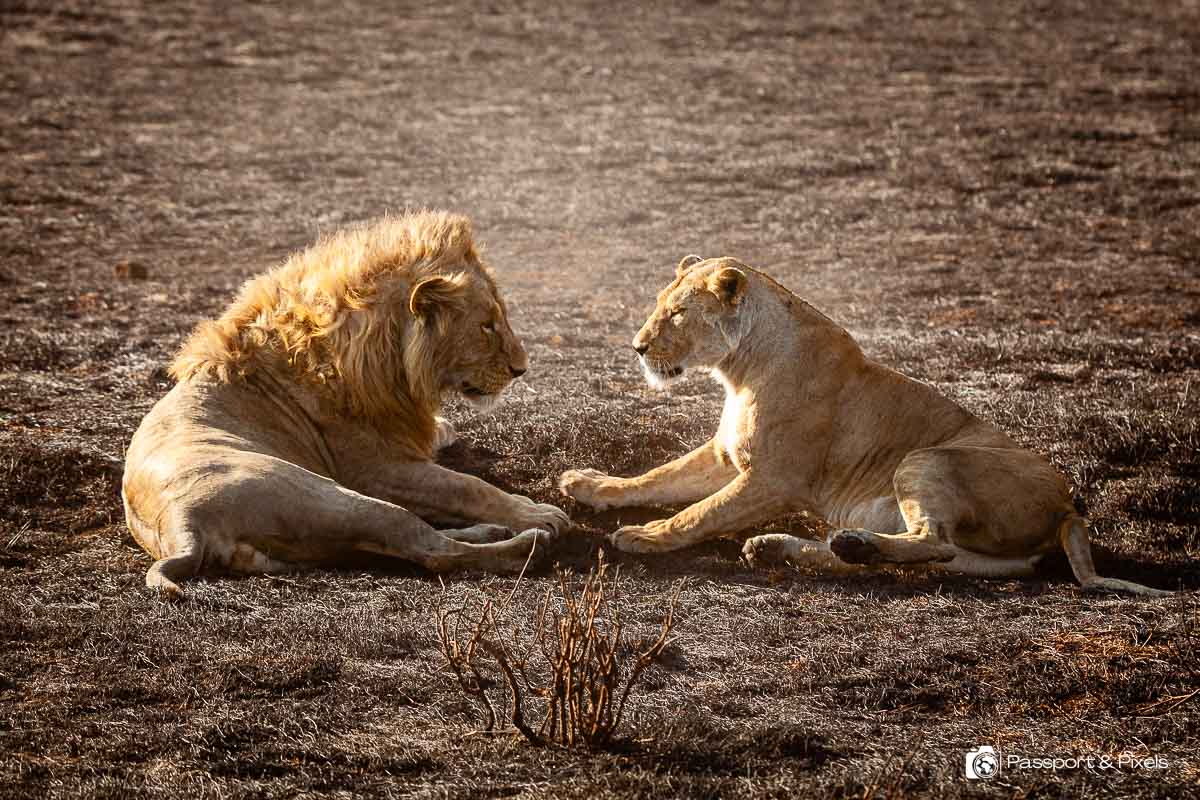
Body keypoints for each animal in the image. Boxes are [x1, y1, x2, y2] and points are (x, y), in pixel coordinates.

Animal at [122, 211, 569, 594]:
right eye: (487, 326)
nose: (521, 369)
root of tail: (181, 527)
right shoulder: (375, 468)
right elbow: (469, 487)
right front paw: (534, 511)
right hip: (331, 496)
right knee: (432, 549)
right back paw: (531, 543)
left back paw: (492, 532)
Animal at [559, 255, 1169, 597]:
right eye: (660, 305)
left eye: (680, 313)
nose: (637, 347)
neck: (740, 368)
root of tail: (1068, 507)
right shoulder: (725, 455)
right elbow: (656, 478)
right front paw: (588, 484)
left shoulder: (776, 478)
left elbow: (697, 512)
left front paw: (644, 536)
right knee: (929, 551)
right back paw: (795, 548)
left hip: (927, 457)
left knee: (932, 543)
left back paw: (830, 548)